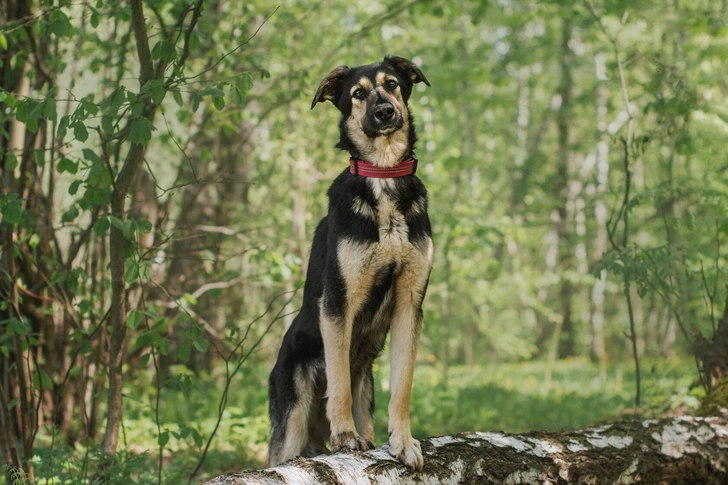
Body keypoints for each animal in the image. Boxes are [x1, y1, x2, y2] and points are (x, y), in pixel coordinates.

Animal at [270, 55, 436, 468]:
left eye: (392, 84)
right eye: (358, 93)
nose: (385, 112)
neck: (384, 175)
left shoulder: (410, 305)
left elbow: (403, 386)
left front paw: (403, 441)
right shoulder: (337, 303)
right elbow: (340, 381)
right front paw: (345, 435)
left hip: (368, 392)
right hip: (292, 419)